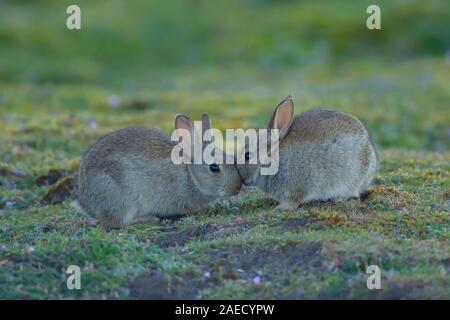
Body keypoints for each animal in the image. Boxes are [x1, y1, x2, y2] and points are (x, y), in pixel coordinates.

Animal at [74, 114, 243, 229]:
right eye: (214, 167)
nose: (237, 187)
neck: (190, 174)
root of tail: (85, 202)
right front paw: (209, 208)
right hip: (120, 198)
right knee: (115, 222)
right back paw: (149, 219)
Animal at [237, 95, 378, 210]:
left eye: (247, 155)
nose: (241, 178)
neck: (272, 158)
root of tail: (368, 143)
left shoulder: (298, 185)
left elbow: (296, 199)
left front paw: (283, 207)